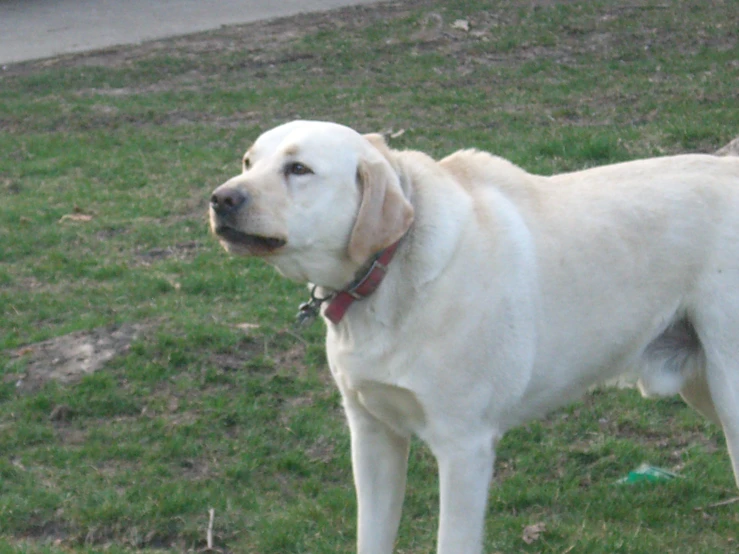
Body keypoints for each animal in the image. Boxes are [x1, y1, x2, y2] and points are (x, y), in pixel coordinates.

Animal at [208, 118, 739, 548]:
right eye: (249, 161)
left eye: (298, 169)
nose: (220, 199)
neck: (389, 272)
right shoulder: (372, 435)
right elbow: (372, 537)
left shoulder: (464, 448)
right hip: (703, 386)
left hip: (729, 389)